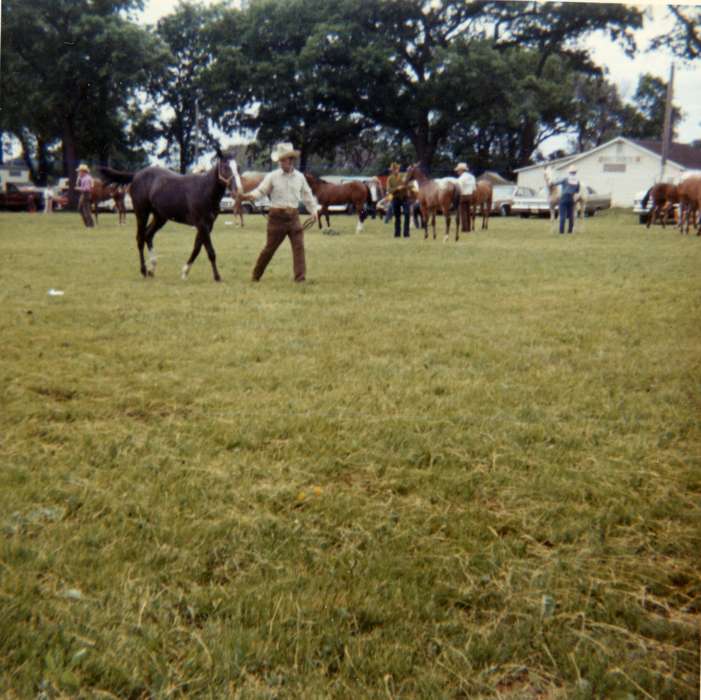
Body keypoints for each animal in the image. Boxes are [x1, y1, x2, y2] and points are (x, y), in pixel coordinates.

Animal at [99, 148, 238, 282]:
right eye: (225, 166)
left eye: (237, 166)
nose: (236, 189)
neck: (204, 190)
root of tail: (136, 175)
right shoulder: (201, 224)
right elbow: (210, 251)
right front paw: (217, 277)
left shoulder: (208, 225)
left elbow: (197, 247)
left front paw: (184, 272)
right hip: (142, 213)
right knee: (140, 238)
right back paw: (144, 271)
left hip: (160, 217)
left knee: (148, 235)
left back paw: (152, 269)